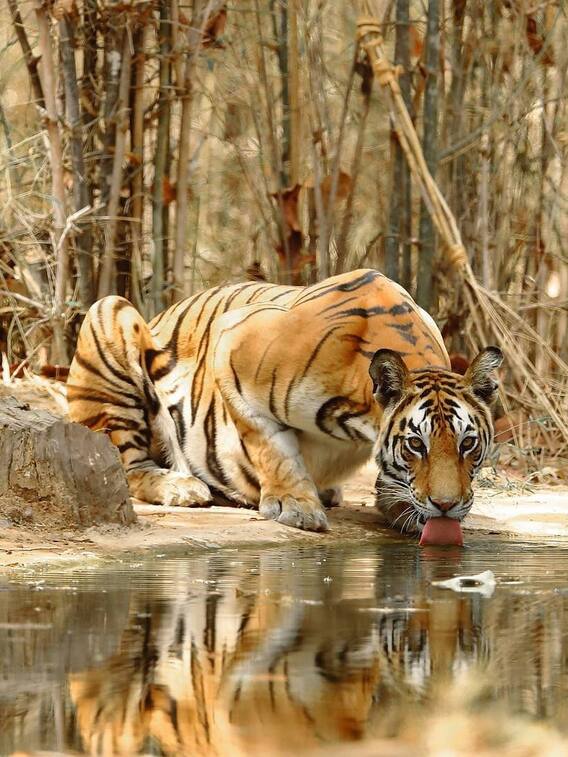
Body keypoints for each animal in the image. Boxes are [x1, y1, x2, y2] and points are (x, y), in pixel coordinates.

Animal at [67, 268, 502, 534]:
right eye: (416, 444)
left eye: (467, 444)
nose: (446, 506)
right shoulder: (231, 346)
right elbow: (271, 446)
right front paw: (297, 507)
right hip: (109, 314)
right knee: (126, 467)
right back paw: (182, 486)